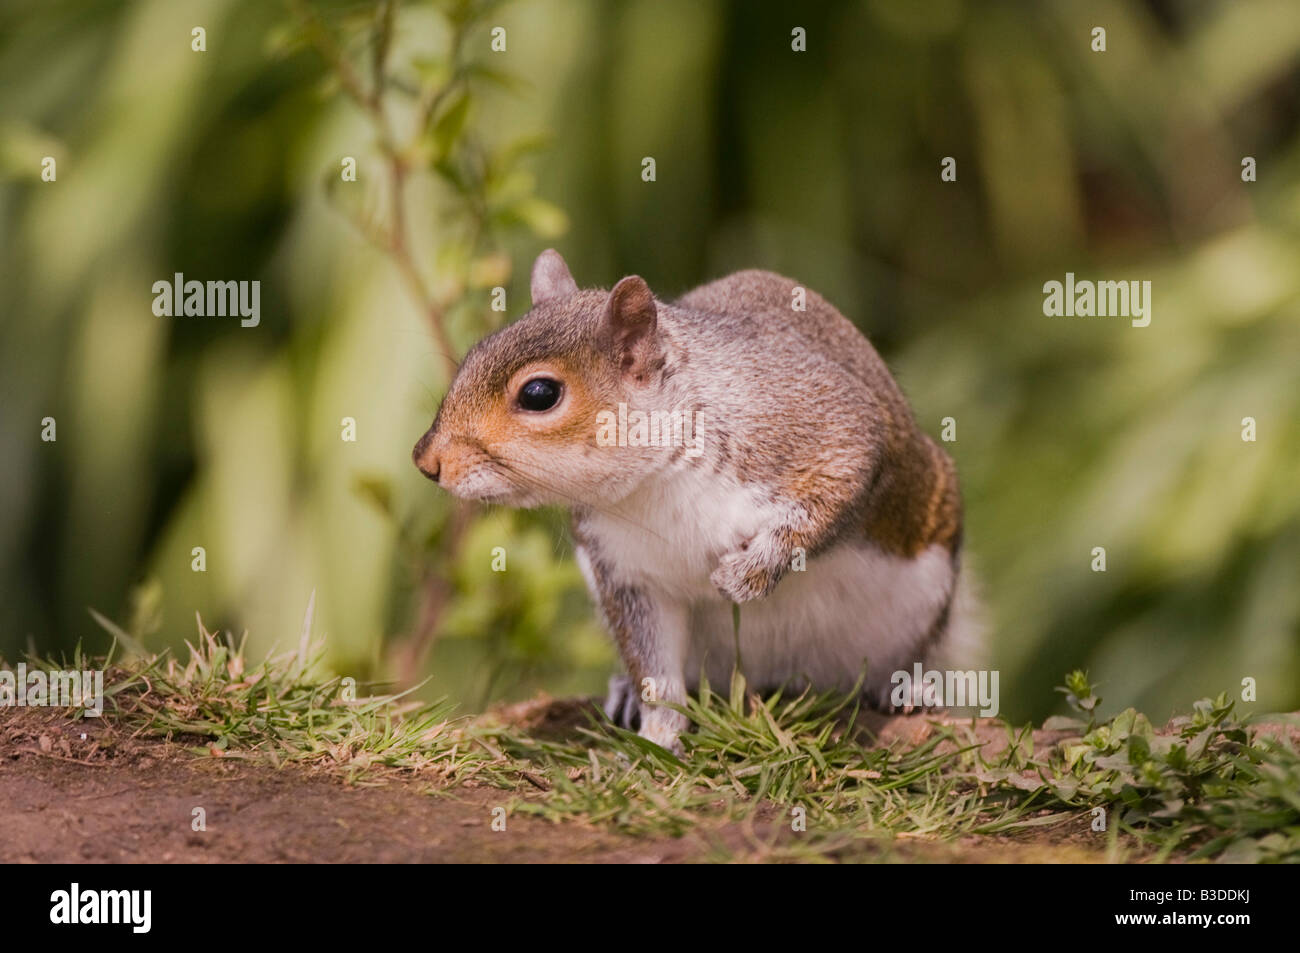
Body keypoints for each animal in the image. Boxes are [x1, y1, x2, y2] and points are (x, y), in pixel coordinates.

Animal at [413, 249, 978, 753]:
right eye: (472, 354)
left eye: (539, 394)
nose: (426, 461)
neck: (656, 479)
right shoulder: (627, 574)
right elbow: (656, 672)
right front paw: (658, 738)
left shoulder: (822, 428)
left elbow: (836, 487)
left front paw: (747, 574)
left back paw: (906, 687)